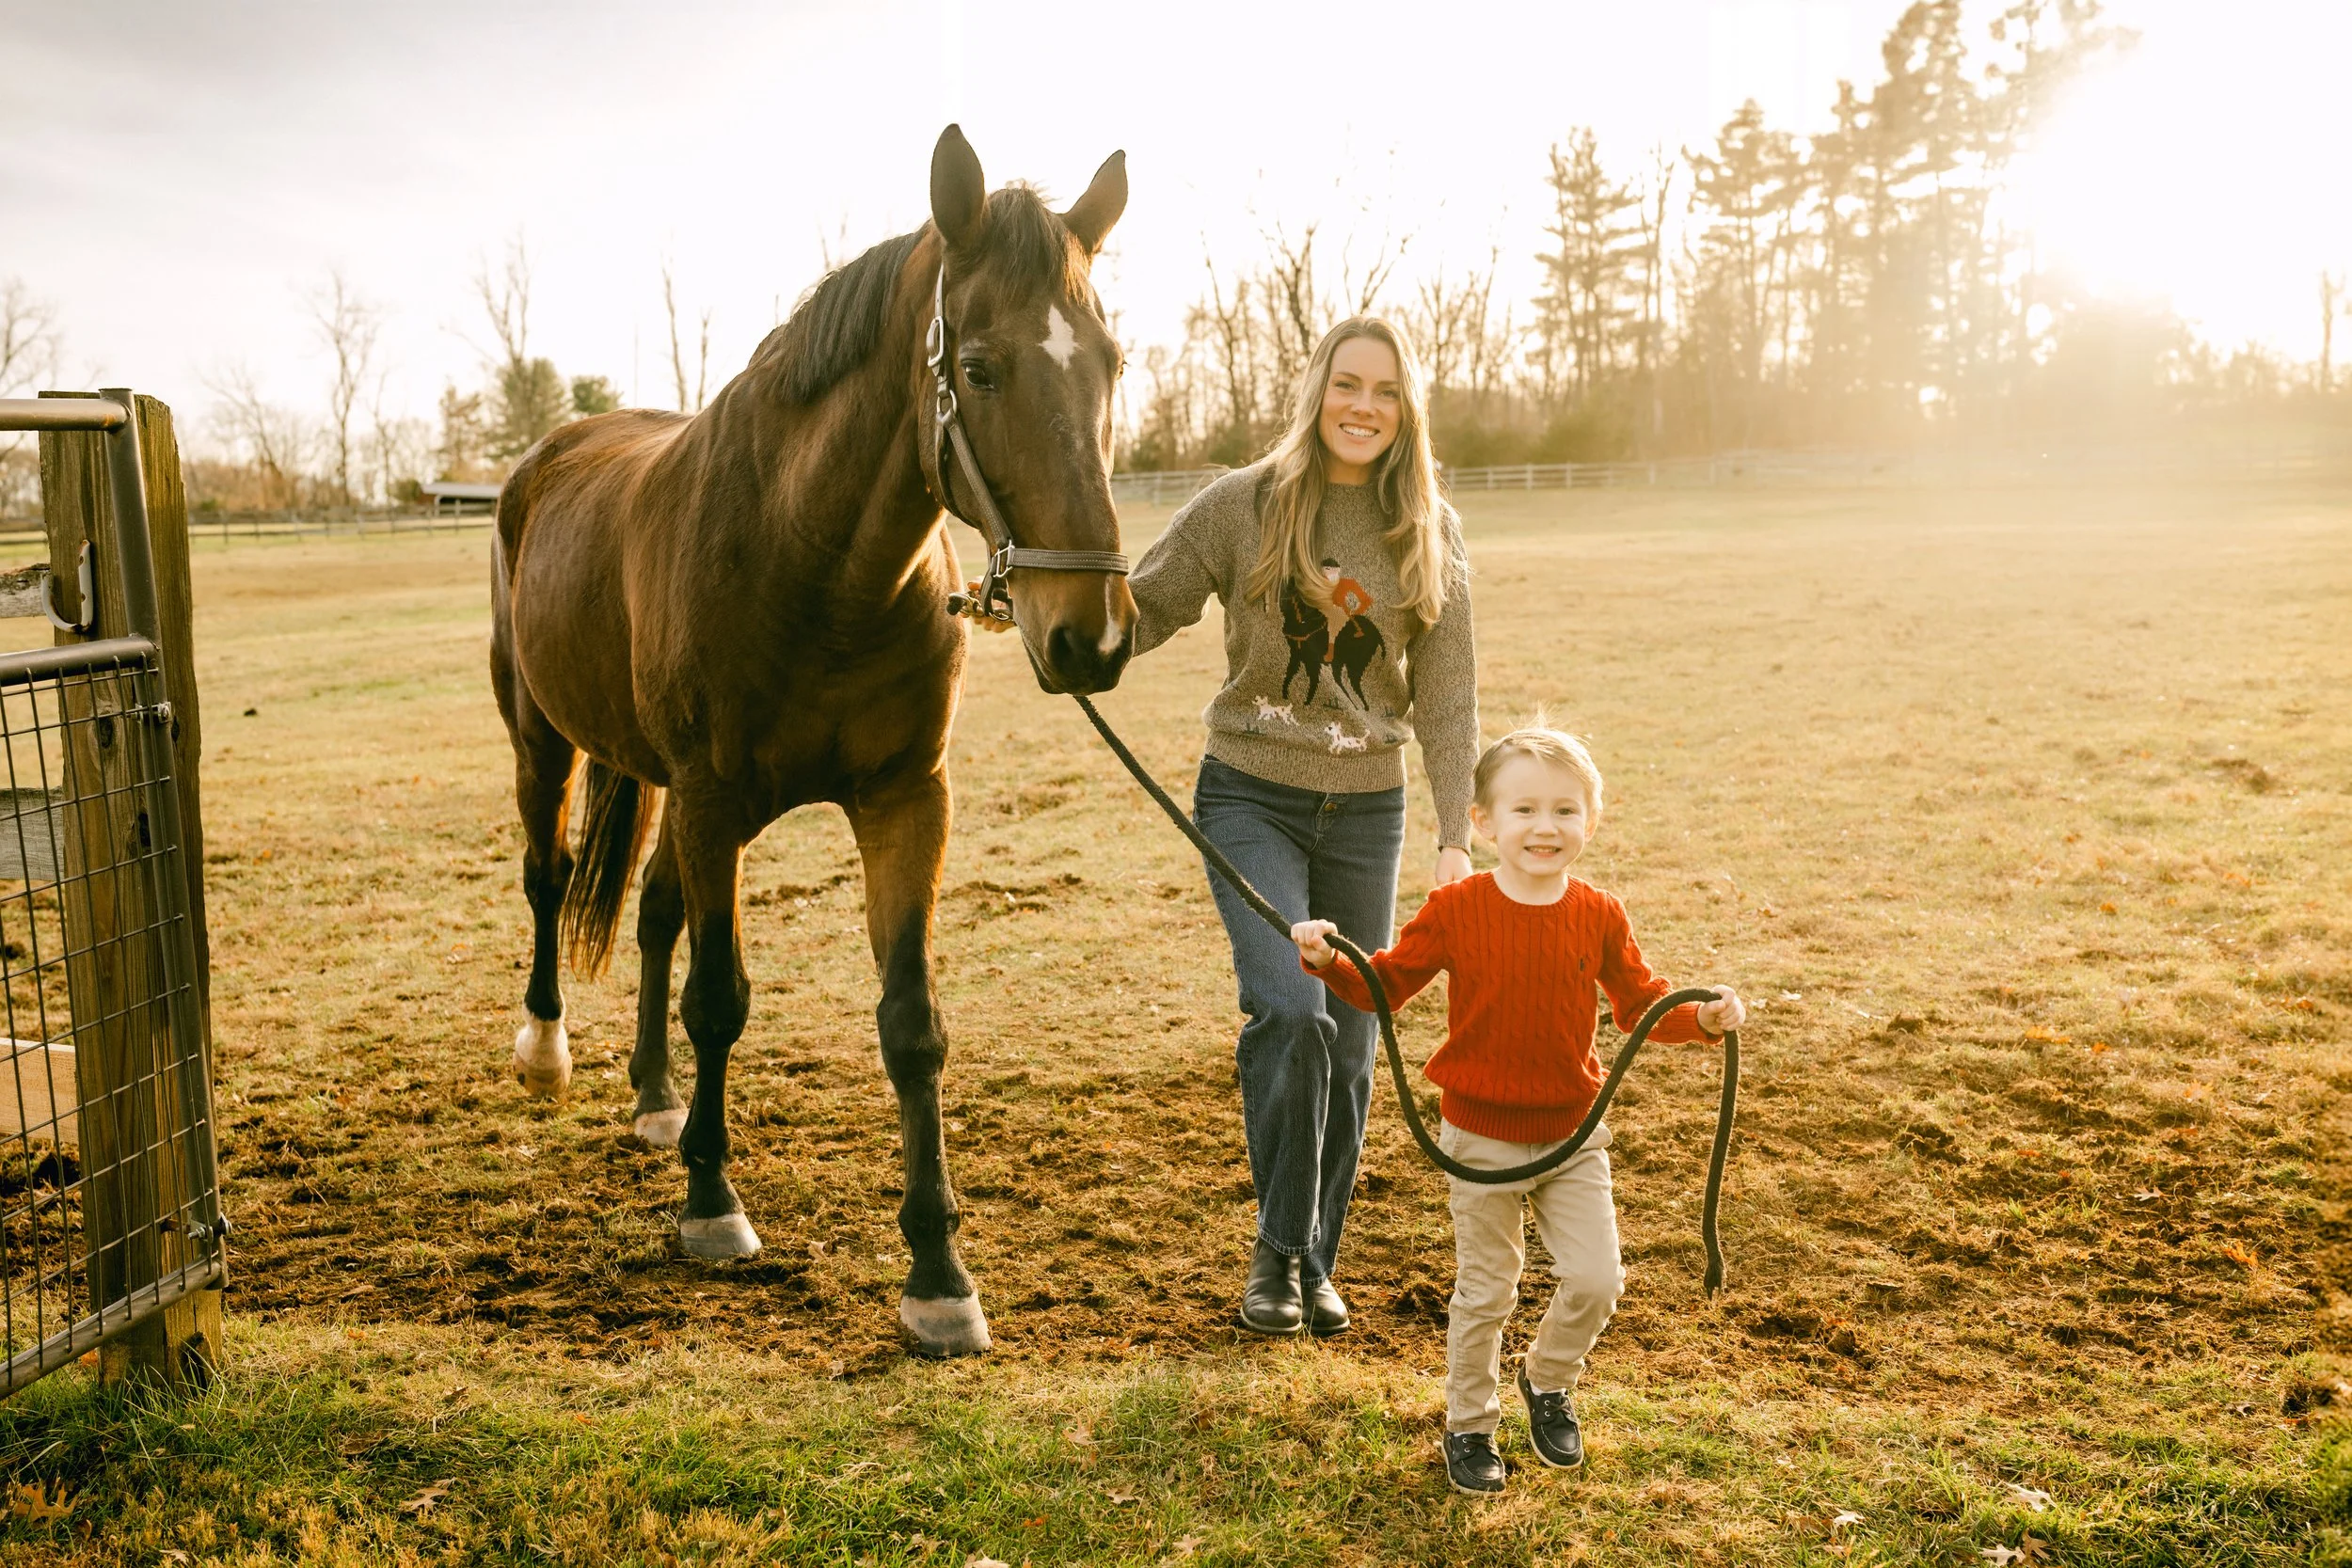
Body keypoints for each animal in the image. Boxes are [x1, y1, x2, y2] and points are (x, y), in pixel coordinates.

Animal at [487, 126, 1135, 1357]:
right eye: (982, 368)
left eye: (1111, 364)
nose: (1092, 635)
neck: (815, 564)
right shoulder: (710, 804)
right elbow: (719, 998)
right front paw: (711, 1203)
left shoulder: (904, 801)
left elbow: (911, 1024)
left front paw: (938, 1273)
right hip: (544, 740)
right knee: (550, 877)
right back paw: (546, 1049)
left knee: (651, 913)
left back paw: (655, 1098)